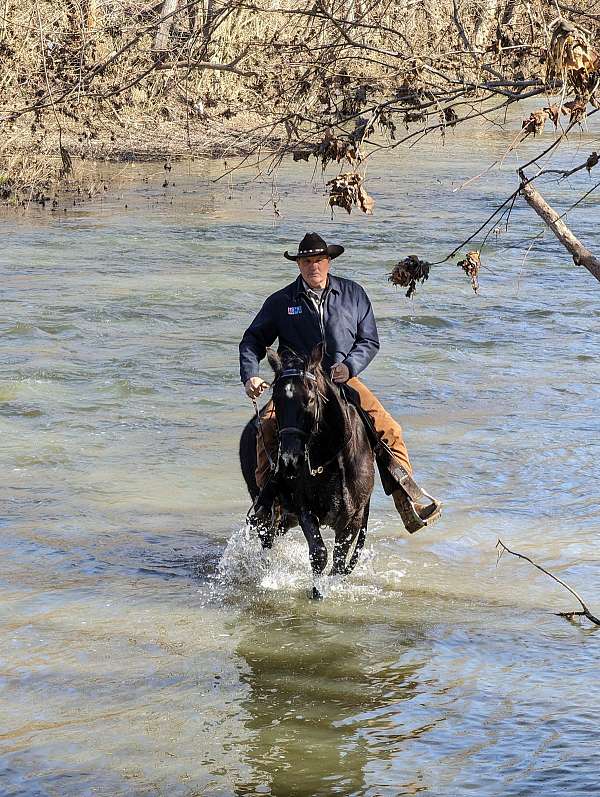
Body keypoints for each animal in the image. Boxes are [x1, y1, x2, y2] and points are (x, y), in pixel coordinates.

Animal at [240, 346, 376, 592]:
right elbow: (319, 554)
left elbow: (339, 562)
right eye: (276, 399)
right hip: (267, 504)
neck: (331, 460)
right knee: (267, 535)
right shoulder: (305, 510)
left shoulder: (354, 519)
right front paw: (316, 591)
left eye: (310, 400)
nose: (289, 460)